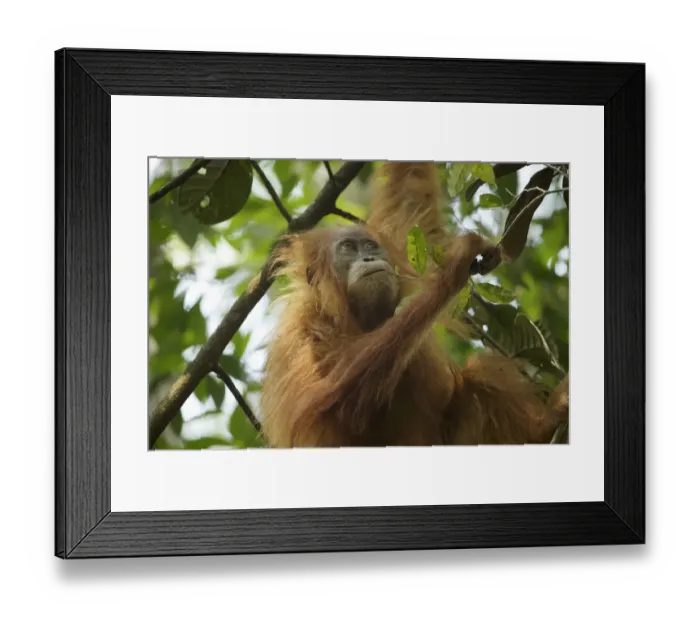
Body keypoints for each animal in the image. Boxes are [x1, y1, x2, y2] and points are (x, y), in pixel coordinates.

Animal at [259, 162, 568, 448]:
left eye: (369, 246)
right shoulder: (302, 332)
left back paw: (543, 429)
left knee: (480, 372)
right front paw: (455, 267)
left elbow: (410, 193)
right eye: (347, 248)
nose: (369, 259)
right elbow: (330, 400)